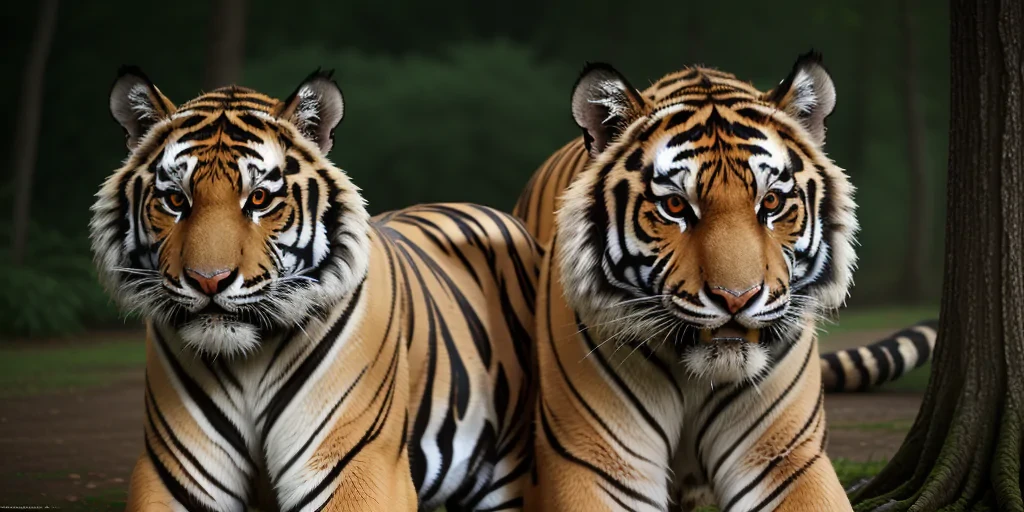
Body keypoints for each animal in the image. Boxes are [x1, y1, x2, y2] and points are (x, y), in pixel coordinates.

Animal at [89, 67, 539, 512]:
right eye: (175, 200)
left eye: (258, 199)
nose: (208, 280)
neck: (247, 360)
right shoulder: (172, 473)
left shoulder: (357, 464)